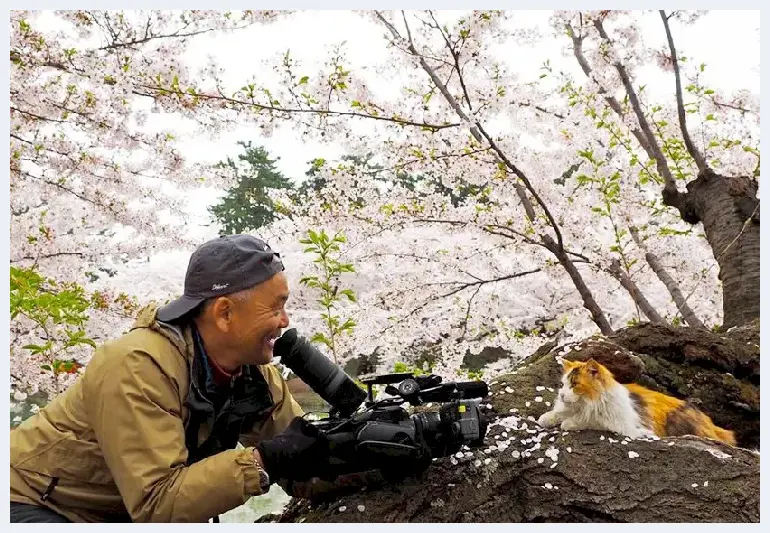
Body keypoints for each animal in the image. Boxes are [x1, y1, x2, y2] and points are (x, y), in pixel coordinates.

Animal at [536, 358, 736, 444]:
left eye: (575, 384)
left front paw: (569, 423)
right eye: (563, 384)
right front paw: (546, 418)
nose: (562, 395)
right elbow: (555, 414)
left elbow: (588, 420)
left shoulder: (620, 425)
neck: (585, 403)